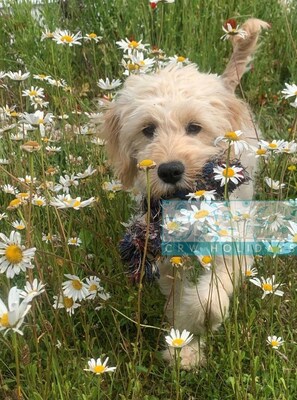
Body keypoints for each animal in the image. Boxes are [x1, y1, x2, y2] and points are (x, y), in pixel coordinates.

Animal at [101, 18, 268, 368]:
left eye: (194, 127)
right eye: (148, 129)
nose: (169, 170)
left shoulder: (231, 243)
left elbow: (211, 298)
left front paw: (195, 325)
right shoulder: (164, 255)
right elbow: (175, 294)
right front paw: (184, 343)